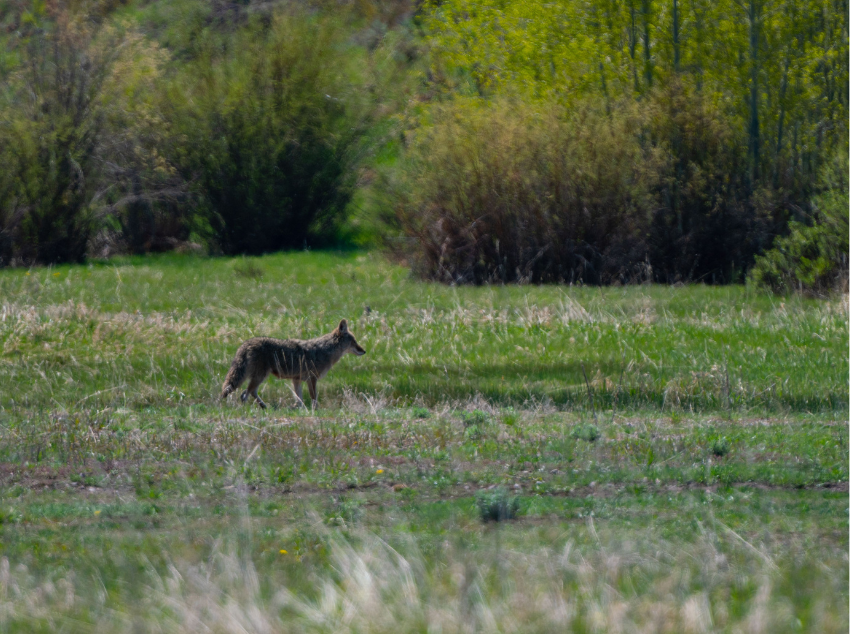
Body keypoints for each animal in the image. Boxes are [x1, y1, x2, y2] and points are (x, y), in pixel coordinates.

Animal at [220, 319, 366, 409]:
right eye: (353, 341)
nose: (364, 351)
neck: (325, 351)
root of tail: (246, 343)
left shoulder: (297, 380)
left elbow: (299, 400)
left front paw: (299, 409)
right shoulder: (312, 379)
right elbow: (313, 399)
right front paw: (315, 411)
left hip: (259, 377)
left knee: (248, 393)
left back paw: (265, 407)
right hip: (260, 377)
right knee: (245, 394)